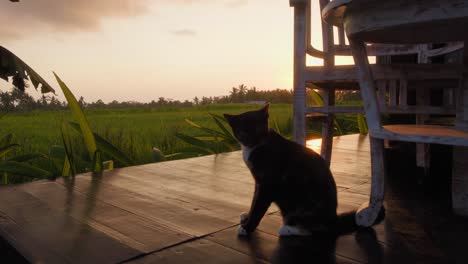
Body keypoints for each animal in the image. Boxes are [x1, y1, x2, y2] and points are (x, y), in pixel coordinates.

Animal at [222, 104, 380, 236]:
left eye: (259, 128)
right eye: (243, 131)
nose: (253, 139)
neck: (255, 148)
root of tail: (334, 218)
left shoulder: (268, 184)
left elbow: (259, 207)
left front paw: (247, 227)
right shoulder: (259, 182)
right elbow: (254, 200)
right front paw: (247, 217)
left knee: (319, 230)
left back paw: (287, 229)